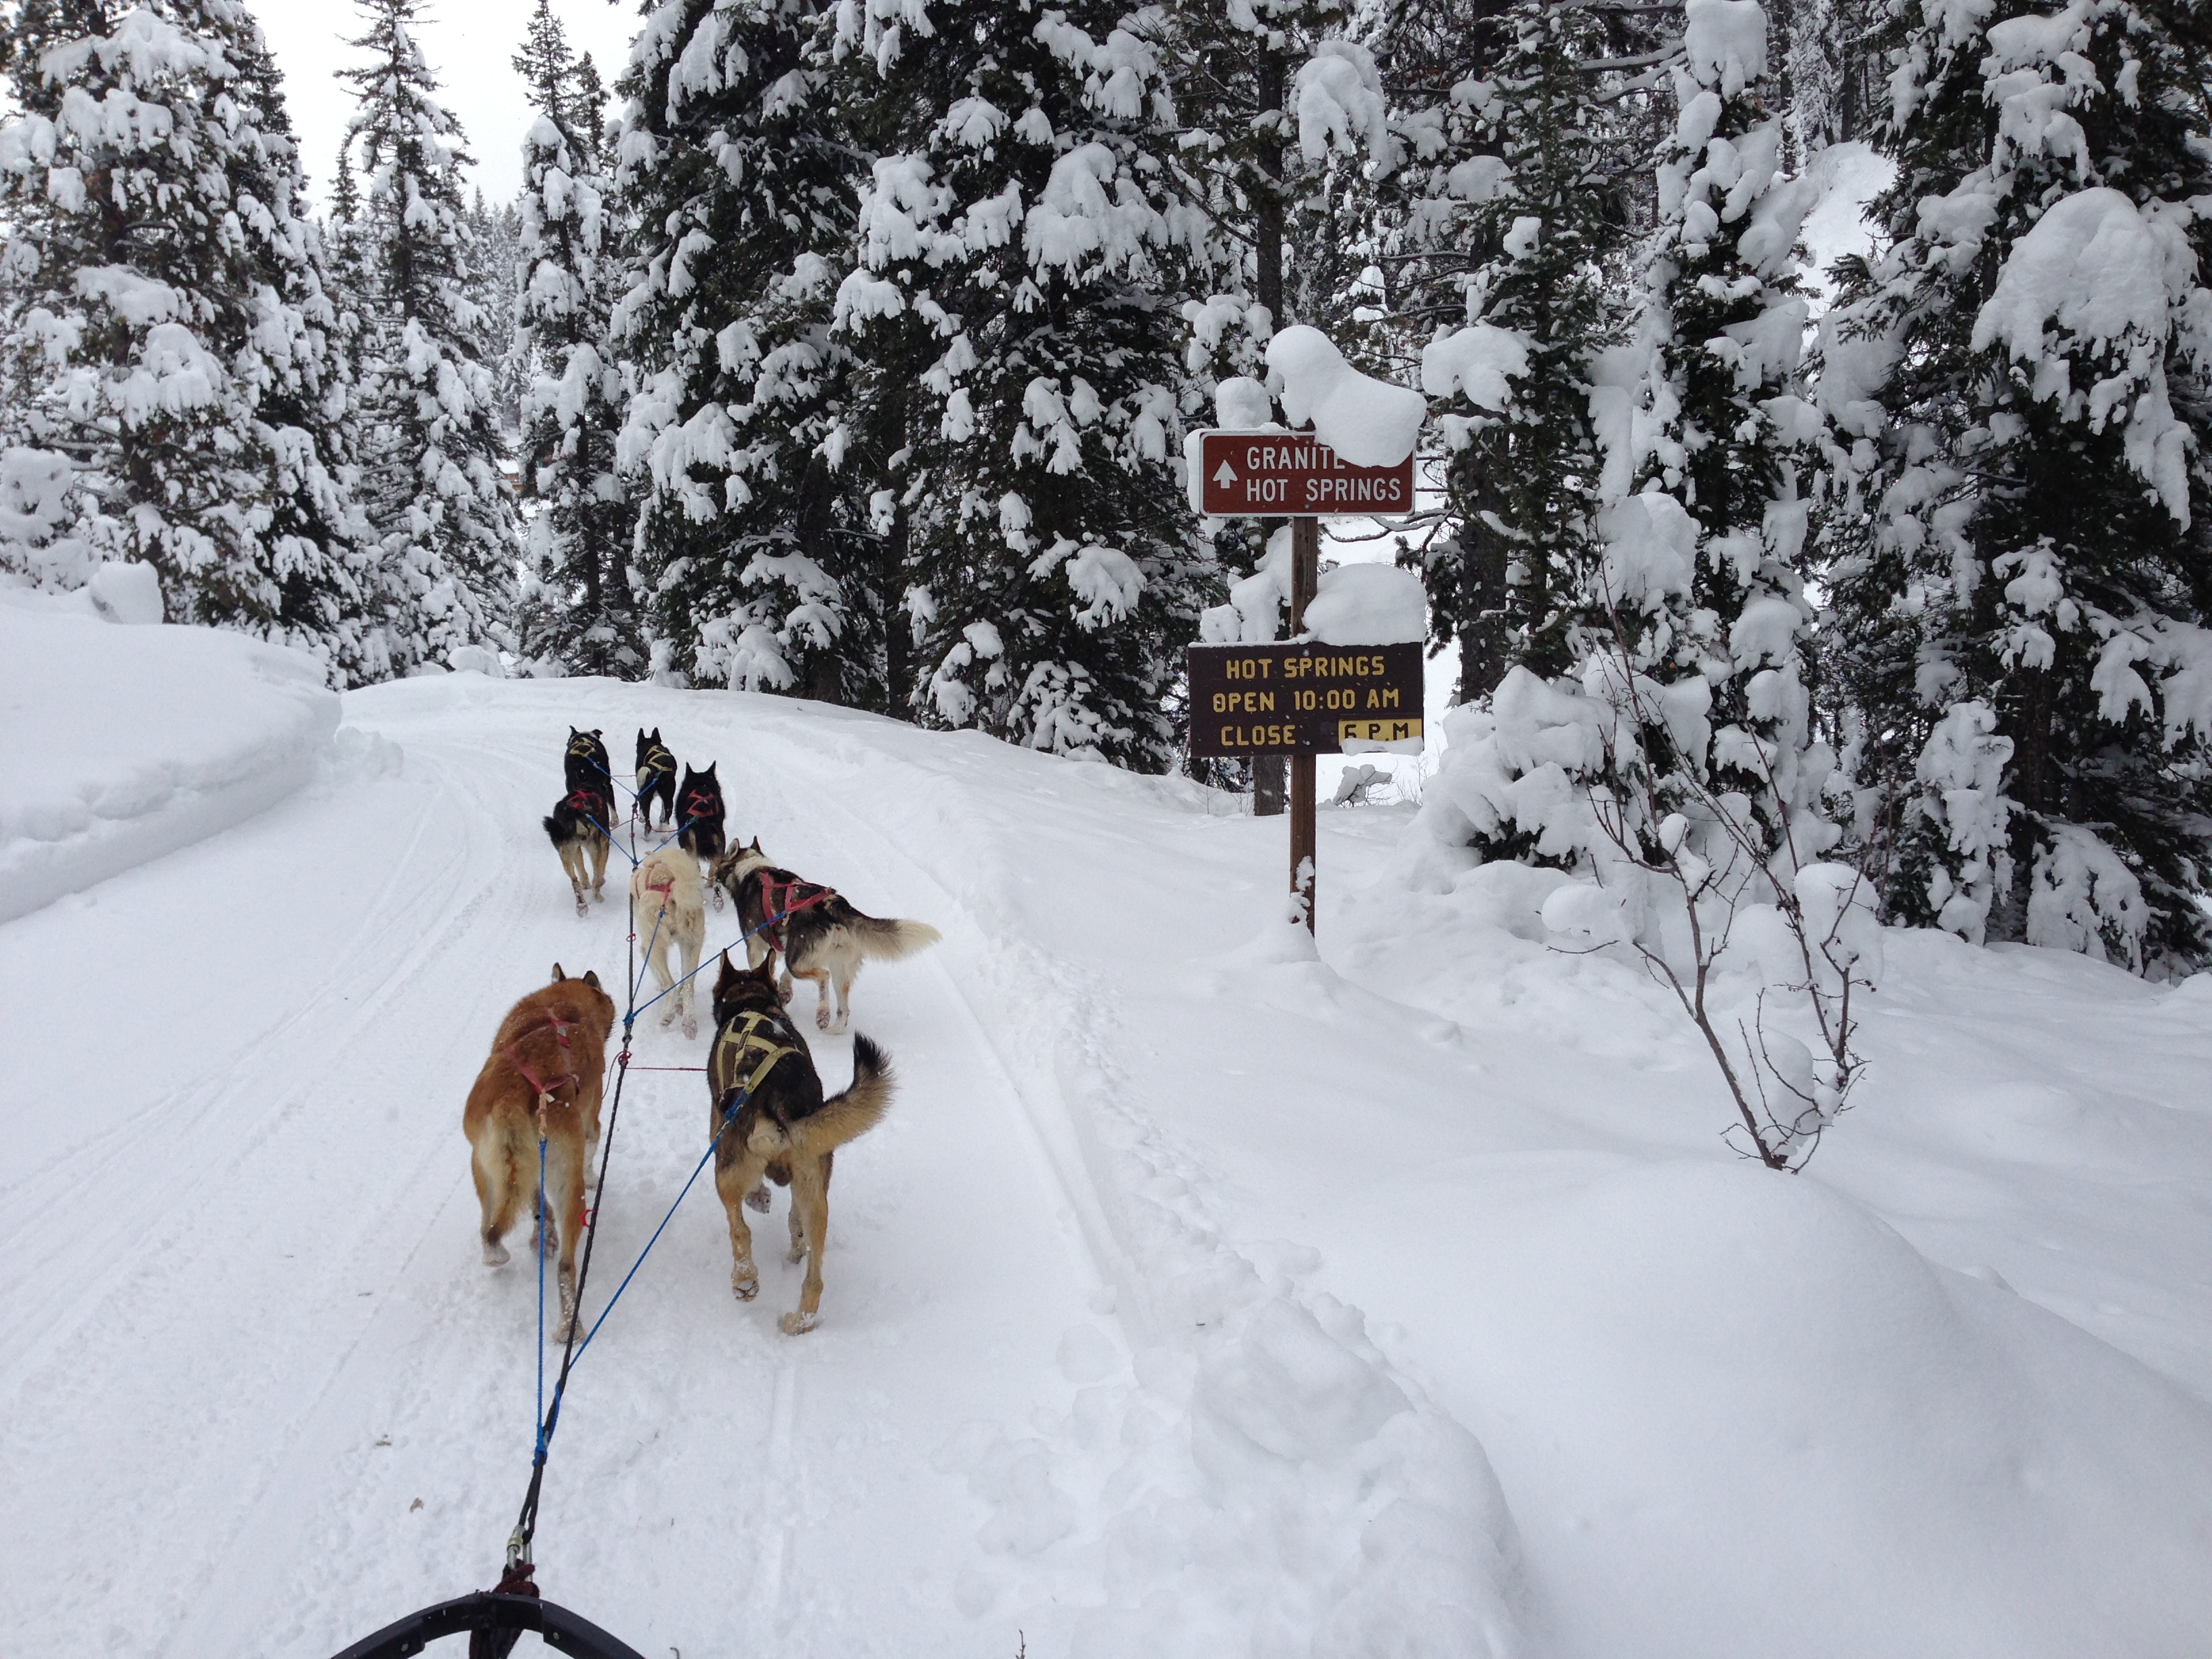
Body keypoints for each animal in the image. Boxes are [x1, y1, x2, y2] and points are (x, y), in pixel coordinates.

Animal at [459, 968, 615, 1345]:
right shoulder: (591, 1117)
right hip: (567, 1182)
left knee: (490, 1229)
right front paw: (594, 1175)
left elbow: (534, 1199)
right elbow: (594, 1142)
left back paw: (507, 1249)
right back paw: (570, 1326)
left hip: (485, 1169)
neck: (559, 1003)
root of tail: (513, 1096)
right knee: (566, 1267)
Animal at [628, 844, 703, 1040]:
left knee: (670, 983)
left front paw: (661, 988)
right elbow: (684, 977)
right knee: (688, 983)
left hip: (655, 947)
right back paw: (688, 1021)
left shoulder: (646, 949)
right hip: (693, 942)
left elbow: (659, 977)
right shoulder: (685, 943)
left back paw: (668, 1014)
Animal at [699, 956, 889, 1336]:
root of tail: (776, 1100)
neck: (752, 1003)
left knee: (739, 1229)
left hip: (725, 1172)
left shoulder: (717, 1128)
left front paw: (759, 1197)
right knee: (814, 1274)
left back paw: (745, 1279)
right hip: (816, 1191)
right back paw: (798, 1318)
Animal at [712, 836, 937, 1035]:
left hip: (804, 963)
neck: (752, 868)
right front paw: (784, 990)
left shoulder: (756, 946)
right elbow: (783, 973)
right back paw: (834, 1028)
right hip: (837, 968)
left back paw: (823, 1014)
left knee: (823, 976)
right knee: (843, 1009)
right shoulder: (786, 948)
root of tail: (834, 904)